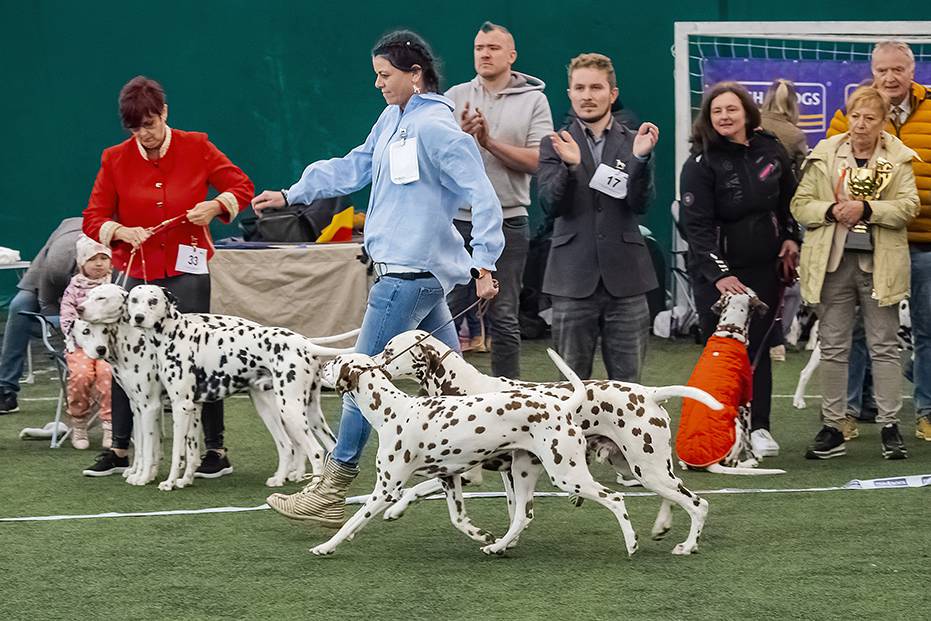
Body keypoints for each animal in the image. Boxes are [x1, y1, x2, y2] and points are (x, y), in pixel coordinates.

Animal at [310, 348, 644, 556]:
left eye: (335, 360)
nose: (319, 365)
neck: (394, 411)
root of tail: (562, 407)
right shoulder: (450, 479)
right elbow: (458, 519)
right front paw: (481, 535)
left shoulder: (387, 489)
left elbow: (354, 519)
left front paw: (327, 546)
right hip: (523, 474)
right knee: (522, 517)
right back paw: (497, 547)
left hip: (566, 475)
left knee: (615, 498)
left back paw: (632, 543)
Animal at [374, 330, 716, 552]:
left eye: (390, 352)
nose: (373, 363)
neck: (466, 387)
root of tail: (649, 393)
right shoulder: (511, 474)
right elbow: (516, 513)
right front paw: (506, 542)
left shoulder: (469, 473)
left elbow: (416, 488)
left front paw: (395, 509)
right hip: (639, 467)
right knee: (673, 496)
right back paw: (662, 526)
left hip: (647, 468)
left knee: (697, 504)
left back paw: (688, 545)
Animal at [676, 290, 788, 474]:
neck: (730, 331)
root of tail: (709, 464)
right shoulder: (745, 403)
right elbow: (750, 442)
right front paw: (755, 456)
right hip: (737, 426)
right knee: (733, 462)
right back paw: (749, 463)